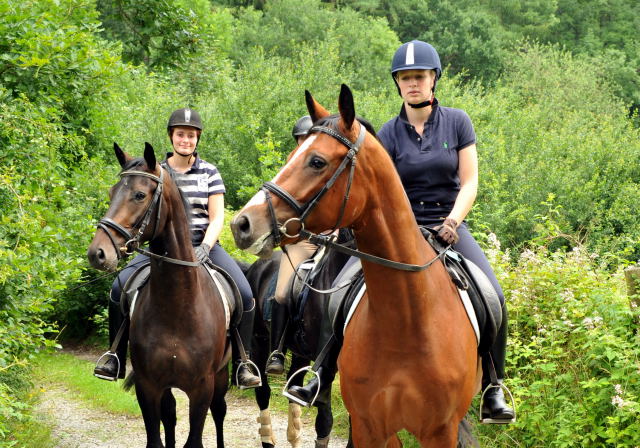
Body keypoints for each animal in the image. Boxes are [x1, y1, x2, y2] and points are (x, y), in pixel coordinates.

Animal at [87, 144, 230, 448]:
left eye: (140, 195)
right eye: (112, 192)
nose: (98, 253)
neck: (177, 306)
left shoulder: (202, 388)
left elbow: (195, 439)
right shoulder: (149, 385)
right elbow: (157, 437)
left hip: (221, 377)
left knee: (219, 411)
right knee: (171, 415)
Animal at [230, 86, 480, 446]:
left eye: (316, 161)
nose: (242, 224)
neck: (408, 318)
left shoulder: (437, 430)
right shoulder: (365, 418)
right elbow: (326, 420)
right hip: (262, 347)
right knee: (263, 391)